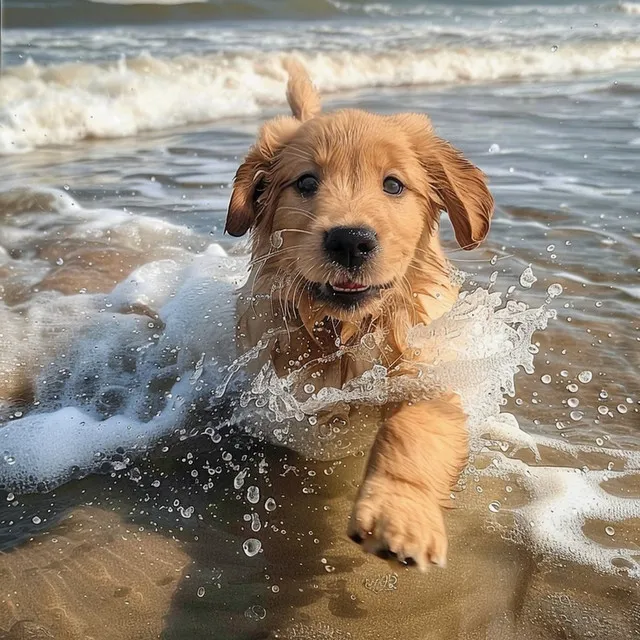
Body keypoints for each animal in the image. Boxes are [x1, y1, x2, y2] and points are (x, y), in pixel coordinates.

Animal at [225, 61, 496, 568]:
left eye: (393, 184)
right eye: (306, 182)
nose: (350, 240)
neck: (346, 330)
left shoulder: (424, 365)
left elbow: (413, 425)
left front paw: (401, 513)